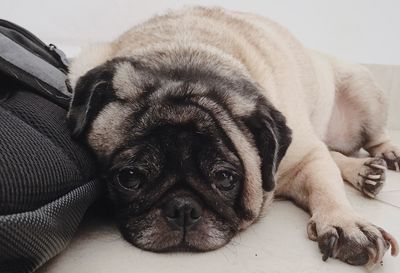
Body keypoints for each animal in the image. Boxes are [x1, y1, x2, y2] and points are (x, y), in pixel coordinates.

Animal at [67, 5, 398, 266]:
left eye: (225, 179)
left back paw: (383, 157)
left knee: (365, 139)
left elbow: (325, 187)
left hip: (363, 91)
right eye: (130, 178)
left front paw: (345, 224)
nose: (182, 208)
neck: (187, 52)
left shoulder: (304, 157)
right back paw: (364, 172)